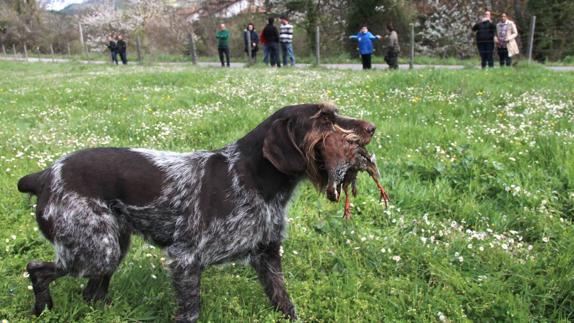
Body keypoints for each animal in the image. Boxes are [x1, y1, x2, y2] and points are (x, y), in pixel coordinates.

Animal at [18, 104, 376, 323]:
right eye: (323, 119)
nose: (371, 127)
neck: (251, 177)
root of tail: (44, 175)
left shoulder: (267, 255)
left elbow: (284, 301)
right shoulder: (186, 258)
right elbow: (191, 310)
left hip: (111, 247)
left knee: (92, 292)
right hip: (96, 250)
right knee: (37, 269)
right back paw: (42, 308)